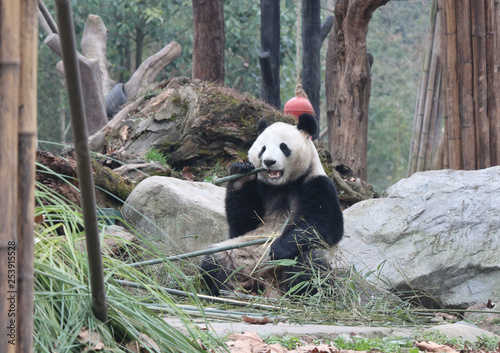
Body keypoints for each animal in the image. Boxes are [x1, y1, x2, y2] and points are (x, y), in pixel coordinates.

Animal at [199, 114, 344, 296]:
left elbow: (322, 225)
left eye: (284, 147)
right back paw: (224, 287)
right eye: (263, 148)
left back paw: (301, 293)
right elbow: (242, 226)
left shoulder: (317, 183)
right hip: (236, 254)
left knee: (308, 264)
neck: (283, 185)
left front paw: (278, 248)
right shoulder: (263, 188)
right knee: (213, 261)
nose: (268, 161)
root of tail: (265, 281)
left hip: (291, 264)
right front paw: (240, 173)